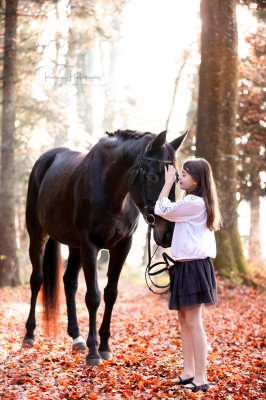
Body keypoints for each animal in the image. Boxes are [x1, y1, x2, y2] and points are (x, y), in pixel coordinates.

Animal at [23, 129, 187, 366]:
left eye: (176, 179)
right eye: (153, 176)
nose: (168, 234)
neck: (111, 191)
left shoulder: (122, 246)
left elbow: (111, 294)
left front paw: (105, 347)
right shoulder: (90, 245)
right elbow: (93, 296)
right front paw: (93, 352)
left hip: (74, 246)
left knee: (69, 283)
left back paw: (77, 338)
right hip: (38, 235)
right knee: (37, 280)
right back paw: (29, 335)